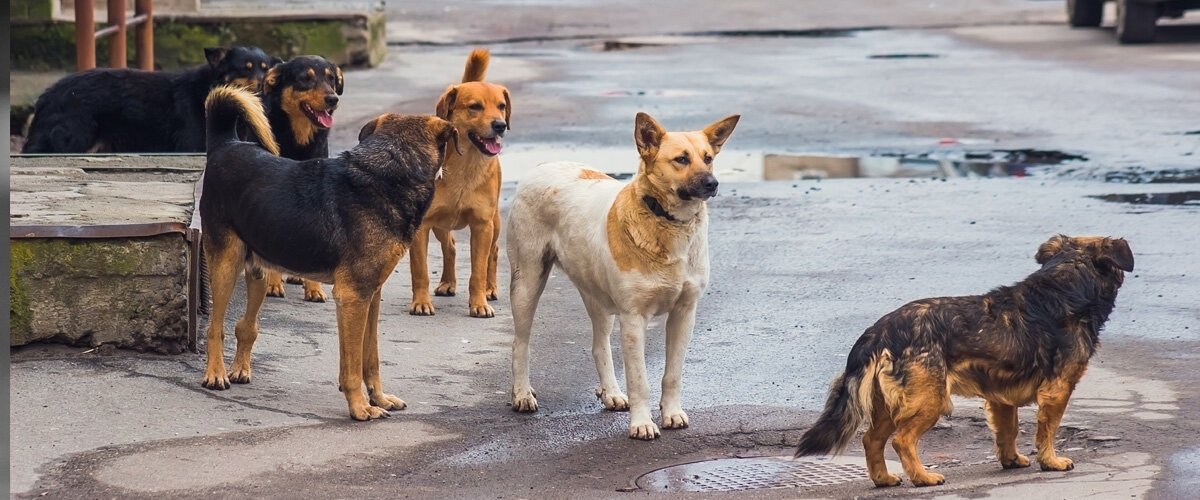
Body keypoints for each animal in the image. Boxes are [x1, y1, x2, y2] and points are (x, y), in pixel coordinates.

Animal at [23, 46, 276, 152]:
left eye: (265, 69)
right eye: (245, 68)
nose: (263, 84)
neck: (208, 88)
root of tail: (48, 95)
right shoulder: (191, 145)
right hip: (72, 141)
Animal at [201, 83, 453, 419]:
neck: (391, 169)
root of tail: (225, 144)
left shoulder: (371, 295)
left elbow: (370, 357)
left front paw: (379, 398)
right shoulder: (352, 297)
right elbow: (352, 365)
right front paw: (360, 407)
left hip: (258, 270)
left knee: (246, 326)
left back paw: (240, 368)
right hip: (225, 265)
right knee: (215, 327)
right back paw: (215, 374)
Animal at [410, 48, 508, 316]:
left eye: (502, 106)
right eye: (475, 107)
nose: (501, 125)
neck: (465, 165)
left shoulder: (482, 226)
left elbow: (478, 271)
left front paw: (479, 303)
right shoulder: (422, 226)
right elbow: (420, 271)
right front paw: (421, 302)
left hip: (495, 222)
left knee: (493, 253)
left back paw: (490, 288)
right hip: (440, 224)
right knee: (450, 246)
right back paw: (447, 283)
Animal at [504, 110, 734, 436]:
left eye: (708, 158)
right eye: (681, 159)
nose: (713, 184)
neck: (668, 222)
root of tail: (544, 165)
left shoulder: (684, 313)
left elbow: (672, 374)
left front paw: (671, 413)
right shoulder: (634, 319)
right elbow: (639, 380)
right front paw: (642, 424)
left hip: (596, 295)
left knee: (599, 346)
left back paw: (611, 392)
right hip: (527, 283)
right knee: (519, 344)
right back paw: (522, 394)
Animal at [796, 236, 1132, 484]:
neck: (1066, 286)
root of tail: (879, 331)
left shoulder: (1001, 397)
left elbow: (1008, 431)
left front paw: (1011, 460)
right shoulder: (1057, 390)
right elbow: (1047, 430)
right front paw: (1050, 461)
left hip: (889, 404)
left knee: (871, 441)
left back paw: (884, 479)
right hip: (930, 399)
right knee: (901, 440)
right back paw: (923, 478)